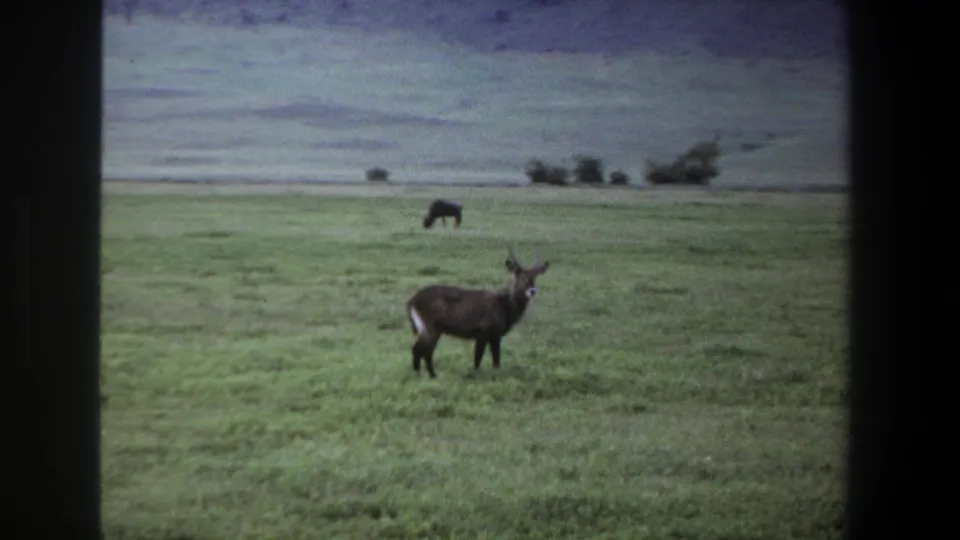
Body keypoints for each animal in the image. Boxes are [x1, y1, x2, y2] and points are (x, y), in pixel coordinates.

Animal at [405, 248, 550, 378]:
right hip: (431, 328)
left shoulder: (489, 336)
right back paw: (430, 375)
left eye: (535, 276)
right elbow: (485, 359)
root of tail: (412, 300)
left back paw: (422, 374)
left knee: (421, 350)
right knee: (421, 350)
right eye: (521, 276)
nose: (532, 291)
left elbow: (487, 359)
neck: (504, 304)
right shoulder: (487, 333)